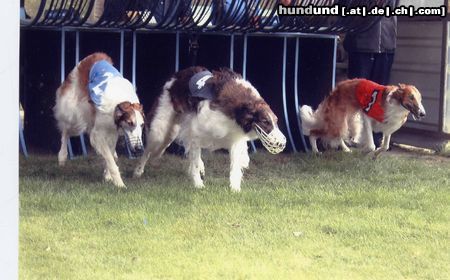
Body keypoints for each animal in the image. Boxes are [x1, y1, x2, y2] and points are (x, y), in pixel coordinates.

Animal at [53, 52, 145, 188]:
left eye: (142, 125)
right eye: (130, 123)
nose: (139, 149)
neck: (120, 103)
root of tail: (95, 55)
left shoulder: (112, 131)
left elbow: (109, 155)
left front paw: (107, 176)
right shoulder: (97, 134)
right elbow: (110, 161)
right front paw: (120, 184)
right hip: (75, 113)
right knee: (65, 130)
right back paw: (62, 156)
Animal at [134, 66, 286, 191]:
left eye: (276, 121)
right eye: (265, 122)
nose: (282, 143)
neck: (238, 108)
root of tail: (175, 77)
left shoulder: (235, 139)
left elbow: (234, 166)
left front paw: (235, 188)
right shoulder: (196, 133)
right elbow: (194, 162)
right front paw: (198, 185)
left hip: (172, 132)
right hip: (159, 131)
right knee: (147, 152)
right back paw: (138, 171)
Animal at [300, 78, 428, 155]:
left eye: (420, 99)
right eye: (411, 97)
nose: (423, 114)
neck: (396, 104)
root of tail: (335, 89)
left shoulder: (388, 126)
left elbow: (385, 146)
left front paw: (375, 155)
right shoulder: (367, 118)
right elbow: (371, 145)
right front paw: (365, 152)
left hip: (347, 122)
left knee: (338, 136)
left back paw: (346, 149)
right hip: (337, 121)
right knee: (313, 133)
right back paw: (316, 151)